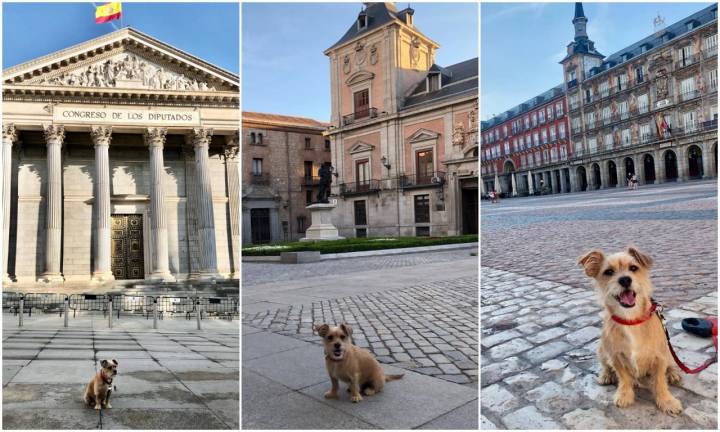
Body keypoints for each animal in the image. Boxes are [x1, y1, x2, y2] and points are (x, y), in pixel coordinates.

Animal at [576, 246, 684, 416]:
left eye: (633, 268)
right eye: (608, 272)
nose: (625, 280)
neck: (630, 320)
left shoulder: (660, 357)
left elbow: (660, 381)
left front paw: (667, 401)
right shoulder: (615, 356)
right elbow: (623, 377)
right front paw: (624, 394)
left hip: (667, 349)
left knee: (671, 363)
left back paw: (672, 373)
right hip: (601, 349)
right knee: (605, 365)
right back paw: (606, 375)